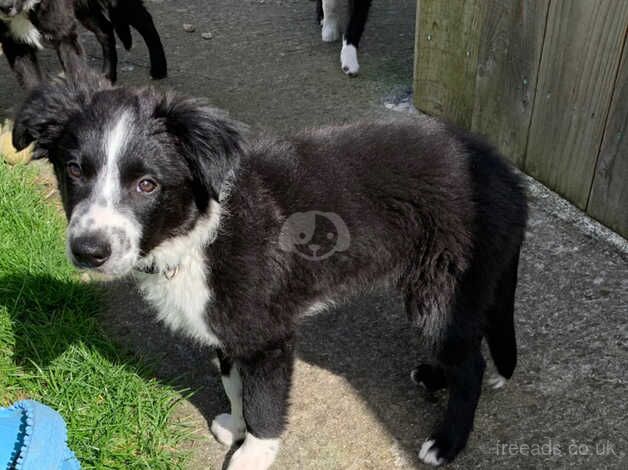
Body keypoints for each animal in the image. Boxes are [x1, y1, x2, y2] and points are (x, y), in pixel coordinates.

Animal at [0, 0, 167, 87]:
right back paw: (108, 76)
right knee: (105, 30)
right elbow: (31, 83)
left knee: (145, 21)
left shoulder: (65, 36)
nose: (5, 7)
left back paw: (159, 69)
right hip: (86, 9)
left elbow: (76, 75)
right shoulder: (15, 45)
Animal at [12, 71, 528, 468]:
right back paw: (435, 376)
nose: (89, 251)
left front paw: (253, 454)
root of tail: (505, 173)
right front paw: (235, 426)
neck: (200, 231)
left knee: (472, 364)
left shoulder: (266, 338)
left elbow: (263, 401)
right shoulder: (226, 330)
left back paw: (447, 442)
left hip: (440, 288)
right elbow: (234, 385)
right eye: (74, 171)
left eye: (147, 185)